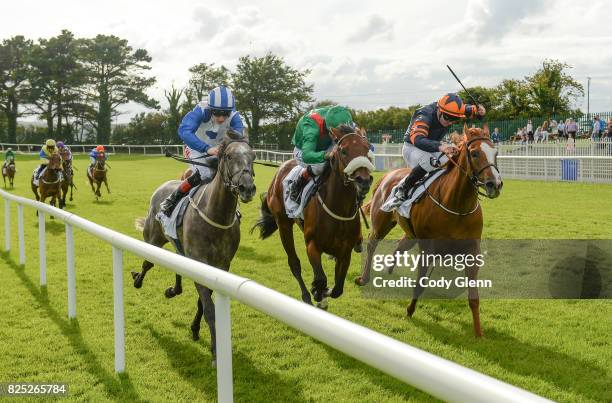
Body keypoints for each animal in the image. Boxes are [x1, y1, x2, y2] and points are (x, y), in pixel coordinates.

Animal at [131, 133, 256, 366]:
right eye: (228, 156)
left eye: (252, 156)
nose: (247, 187)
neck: (216, 215)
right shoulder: (199, 260)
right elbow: (209, 309)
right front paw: (216, 353)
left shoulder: (220, 266)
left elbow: (202, 302)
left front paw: (195, 328)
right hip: (153, 239)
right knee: (147, 263)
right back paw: (137, 280)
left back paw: (173, 290)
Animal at [251, 126, 376, 310]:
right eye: (343, 151)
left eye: (367, 149)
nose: (364, 181)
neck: (340, 210)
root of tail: (281, 168)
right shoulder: (312, 245)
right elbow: (321, 279)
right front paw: (317, 292)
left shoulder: (345, 251)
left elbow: (338, 288)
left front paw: (324, 294)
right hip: (283, 224)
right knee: (294, 263)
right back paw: (306, 296)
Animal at [356, 124, 500, 338]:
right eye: (474, 153)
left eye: (495, 153)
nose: (495, 184)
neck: (457, 206)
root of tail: (387, 176)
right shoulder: (428, 249)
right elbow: (420, 283)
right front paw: (409, 311)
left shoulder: (472, 251)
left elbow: (474, 296)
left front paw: (479, 333)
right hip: (381, 223)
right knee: (372, 244)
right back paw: (364, 278)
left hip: (411, 234)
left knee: (400, 245)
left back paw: (389, 268)